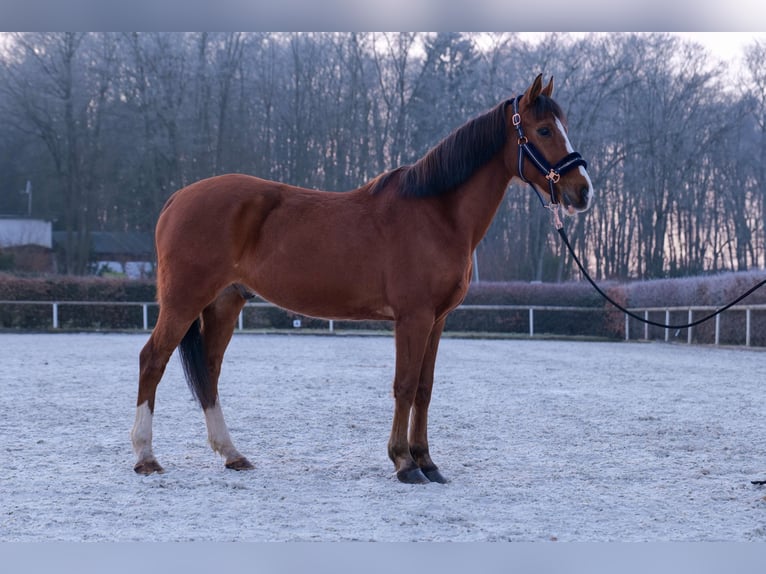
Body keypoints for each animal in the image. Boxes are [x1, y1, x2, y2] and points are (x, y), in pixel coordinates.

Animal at [132, 73, 596, 486]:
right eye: (543, 129)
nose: (583, 191)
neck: (437, 214)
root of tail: (177, 198)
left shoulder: (437, 320)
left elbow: (424, 388)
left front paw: (428, 462)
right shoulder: (413, 318)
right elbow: (404, 386)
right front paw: (404, 463)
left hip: (225, 302)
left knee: (209, 371)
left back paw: (232, 455)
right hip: (184, 300)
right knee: (152, 360)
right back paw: (146, 457)